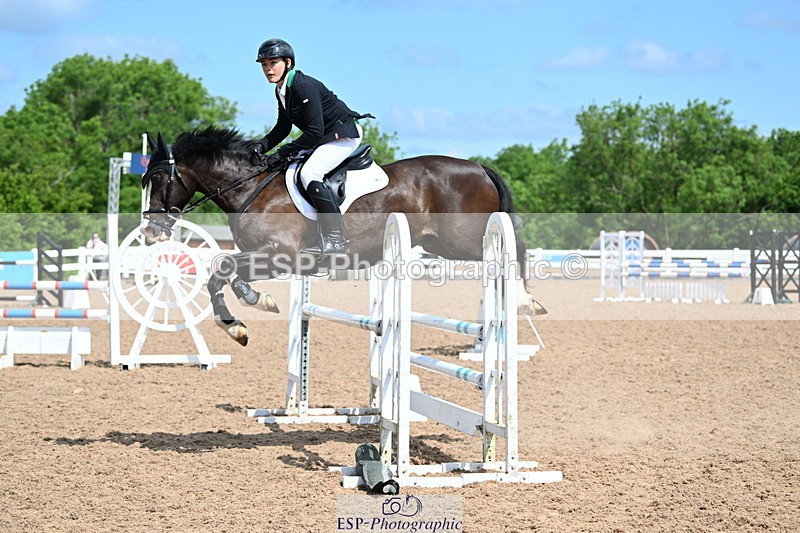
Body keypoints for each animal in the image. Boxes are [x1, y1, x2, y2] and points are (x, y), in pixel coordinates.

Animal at [140, 127, 544, 346]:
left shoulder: (280, 254)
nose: (149, 231)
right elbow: (224, 273)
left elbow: (221, 267)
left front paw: (246, 315)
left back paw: (526, 302)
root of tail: (479, 166)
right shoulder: (267, 257)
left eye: (157, 178)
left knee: (518, 248)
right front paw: (250, 310)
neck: (251, 187)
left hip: (463, 238)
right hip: (440, 244)